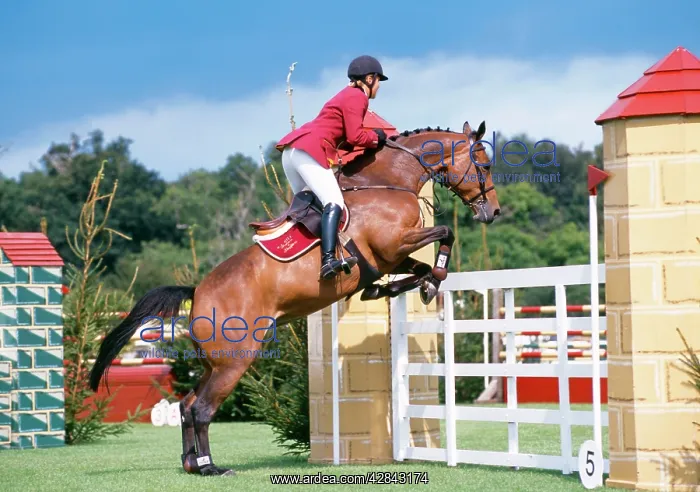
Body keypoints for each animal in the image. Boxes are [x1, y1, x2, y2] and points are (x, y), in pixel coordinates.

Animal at [89, 120, 501, 476]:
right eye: (483, 164)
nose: (493, 212)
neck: (387, 183)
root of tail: (199, 291)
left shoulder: (390, 256)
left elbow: (417, 266)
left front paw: (407, 286)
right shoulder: (393, 245)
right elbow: (445, 232)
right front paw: (434, 279)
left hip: (212, 363)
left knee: (188, 405)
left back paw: (192, 463)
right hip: (235, 360)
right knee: (203, 409)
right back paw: (210, 467)